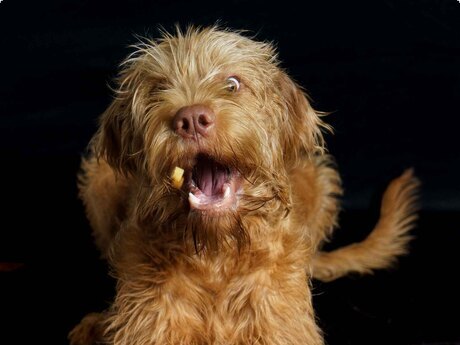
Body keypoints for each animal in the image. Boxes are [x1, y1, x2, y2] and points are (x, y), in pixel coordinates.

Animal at [69, 25, 420, 342]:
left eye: (232, 84)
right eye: (158, 89)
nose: (191, 119)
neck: (216, 255)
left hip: (317, 176)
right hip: (98, 176)